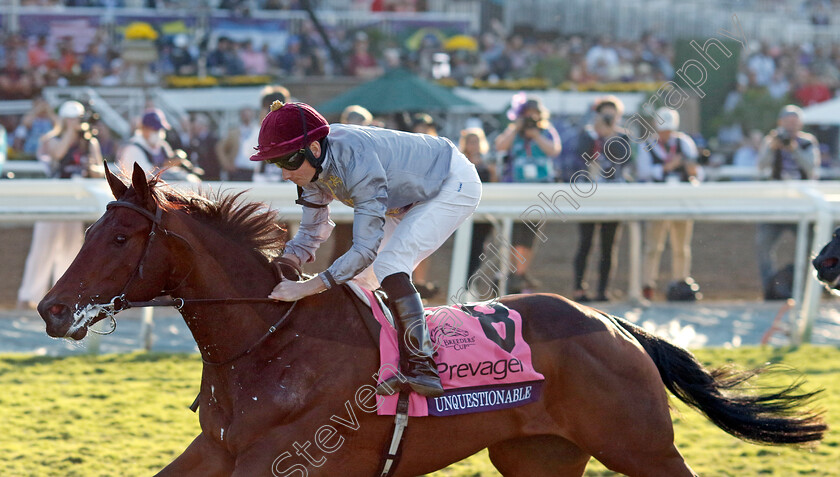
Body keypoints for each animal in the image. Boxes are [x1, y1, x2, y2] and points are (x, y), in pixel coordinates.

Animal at [41, 163, 828, 472]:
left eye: (119, 238)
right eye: (89, 229)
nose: (50, 308)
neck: (266, 343)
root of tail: (616, 327)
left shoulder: (282, 458)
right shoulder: (219, 450)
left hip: (640, 445)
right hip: (539, 455)